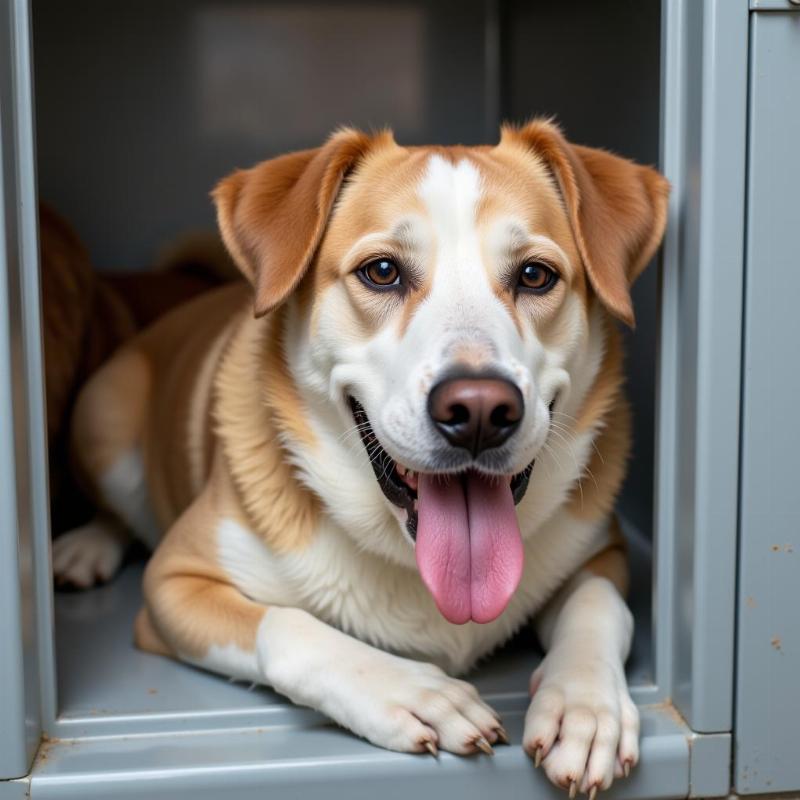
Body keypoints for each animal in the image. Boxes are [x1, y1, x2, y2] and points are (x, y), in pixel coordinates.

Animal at [57, 122, 668, 796]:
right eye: (381, 272)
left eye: (535, 275)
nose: (480, 410)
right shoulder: (172, 586)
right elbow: (288, 627)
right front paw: (412, 692)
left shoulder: (602, 554)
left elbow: (599, 606)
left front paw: (586, 707)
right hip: (103, 418)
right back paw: (86, 547)